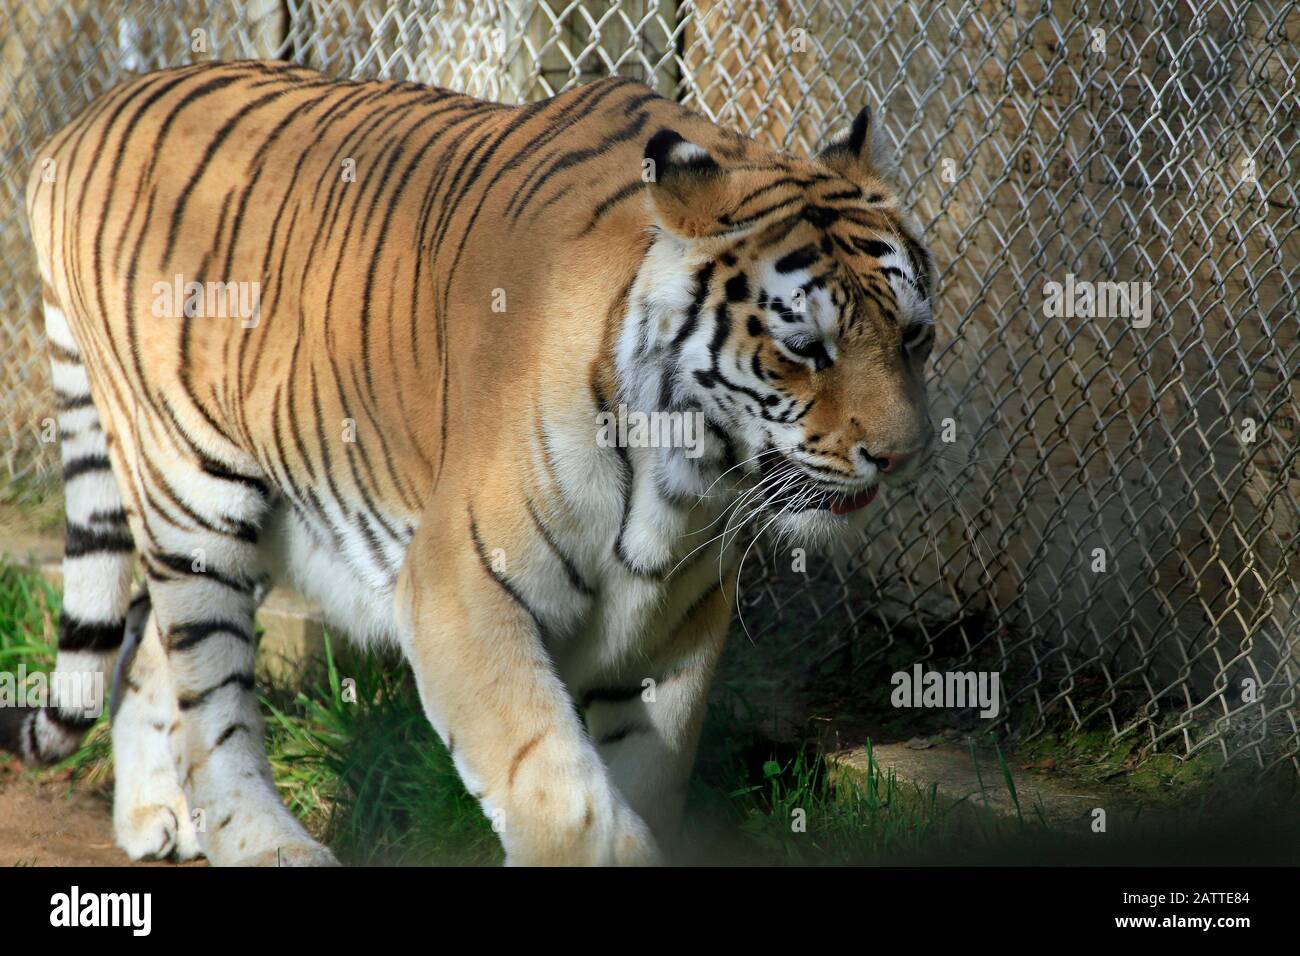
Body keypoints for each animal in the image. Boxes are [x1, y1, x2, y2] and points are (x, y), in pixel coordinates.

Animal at [2, 59, 935, 863]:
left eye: (915, 337)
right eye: (804, 349)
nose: (902, 457)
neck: (687, 477)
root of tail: (75, 124)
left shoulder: (677, 621)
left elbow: (645, 775)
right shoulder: (458, 586)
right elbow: (568, 798)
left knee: (146, 639)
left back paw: (155, 815)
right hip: (193, 492)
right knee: (211, 695)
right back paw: (265, 844)